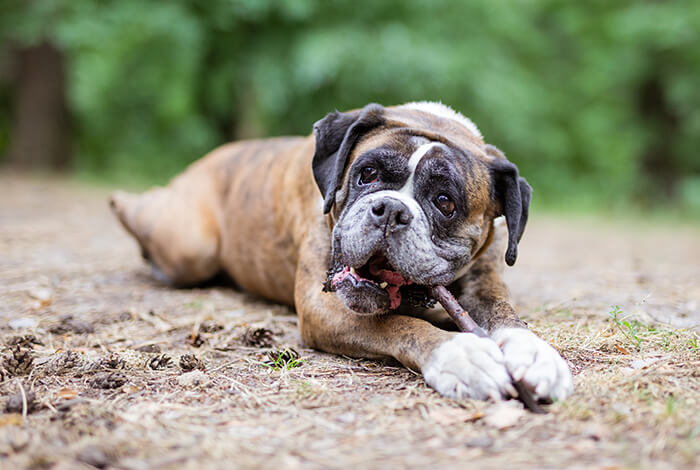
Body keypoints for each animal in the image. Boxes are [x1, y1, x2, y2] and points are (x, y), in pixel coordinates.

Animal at [112, 102, 576, 400]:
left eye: (445, 202)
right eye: (366, 173)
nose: (390, 210)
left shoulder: (485, 285)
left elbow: (506, 316)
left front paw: (537, 355)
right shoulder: (324, 308)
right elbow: (400, 325)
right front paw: (460, 355)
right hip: (193, 246)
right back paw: (120, 202)